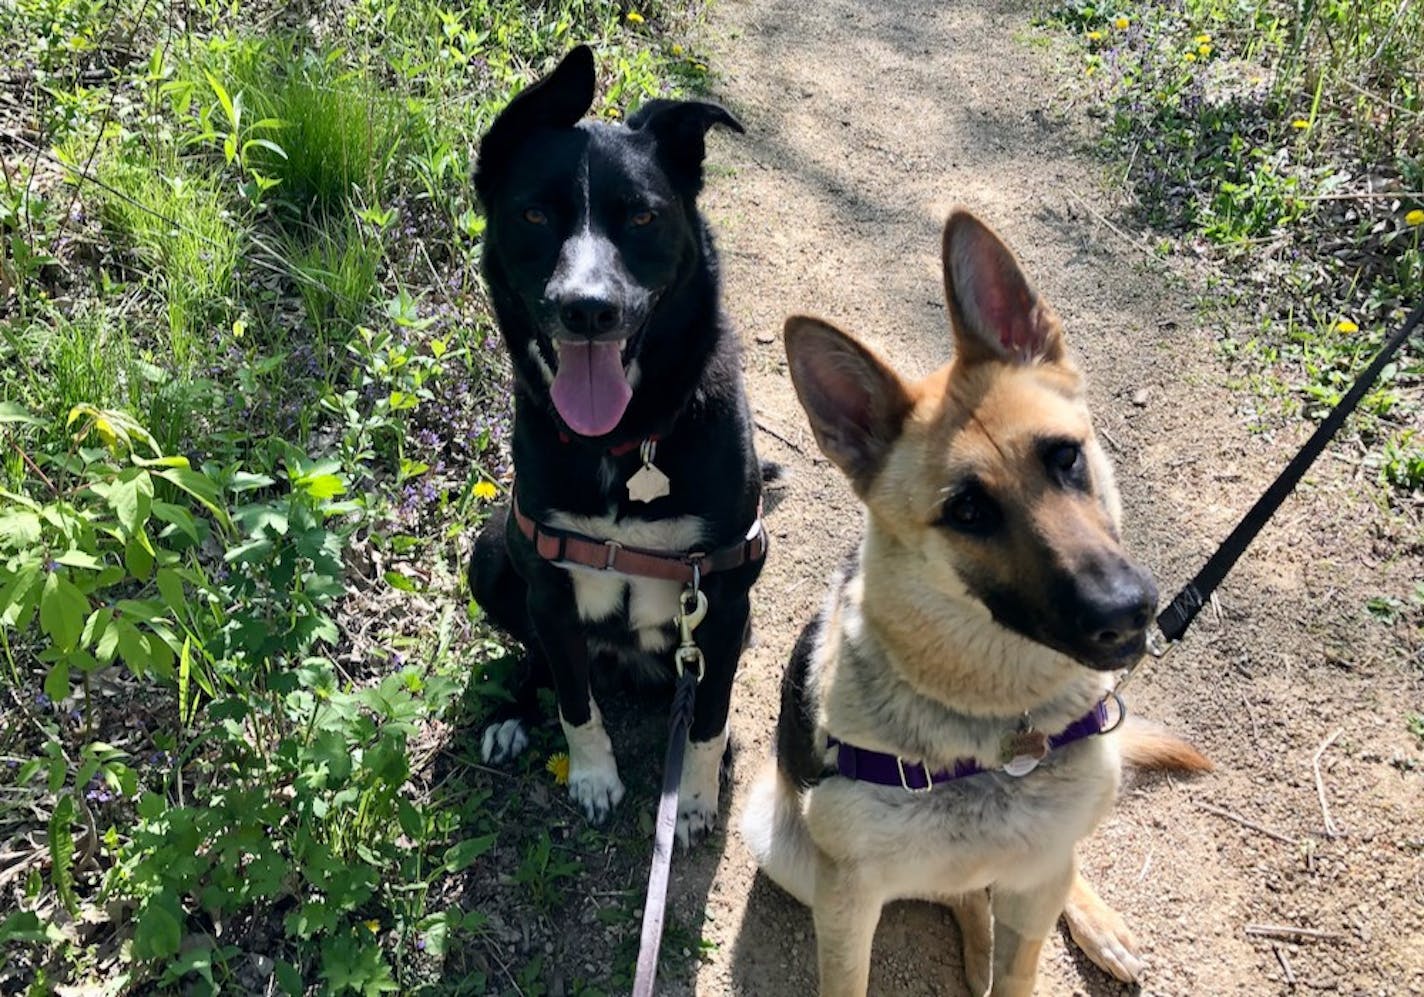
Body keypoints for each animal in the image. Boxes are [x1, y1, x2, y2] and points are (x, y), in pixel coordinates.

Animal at [467, 44, 763, 843]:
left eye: (643, 216)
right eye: (534, 213)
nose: (588, 309)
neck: (630, 441)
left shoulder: (724, 594)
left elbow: (708, 718)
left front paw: (692, 798)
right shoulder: (548, 583)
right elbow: (576, 703)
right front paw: (595, 778)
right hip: (489, 555)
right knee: (539, 660)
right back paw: (512, 712)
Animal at [740, 206, 1207, 991]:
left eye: (1066, 456)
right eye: (967, 512)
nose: (1127, 609)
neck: (1002, 731)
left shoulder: (1037, 877)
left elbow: (1024, 961)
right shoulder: (847, 902)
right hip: (784, 845)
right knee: (959, 891)